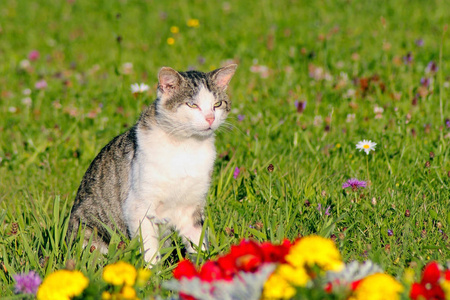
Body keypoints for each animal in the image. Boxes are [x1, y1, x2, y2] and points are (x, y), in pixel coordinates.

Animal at [67, 63, 237, 262]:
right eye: (192, 104)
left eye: (217, 104)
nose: (210, 118)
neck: (187, 147)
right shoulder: (139, 207)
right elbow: (149, 249)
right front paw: (151, 270)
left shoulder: (191, 208)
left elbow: (198, 243)